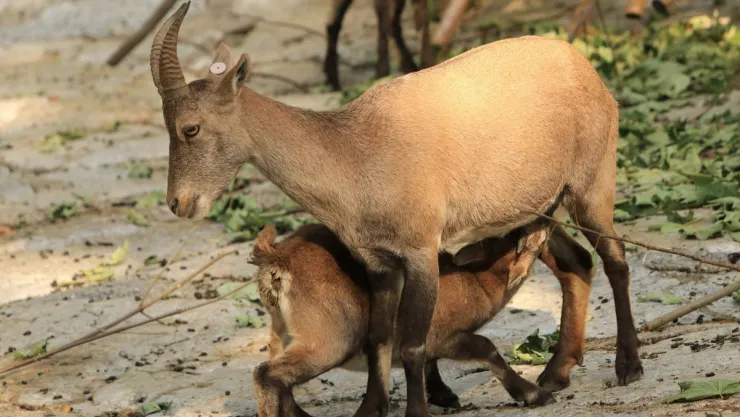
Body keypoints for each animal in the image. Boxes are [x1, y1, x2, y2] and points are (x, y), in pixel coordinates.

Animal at [250, 222, 594, 415]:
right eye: (521, 232)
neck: (474, 279)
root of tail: (276, 259)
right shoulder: (448, 336)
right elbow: (486, 347)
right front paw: (534, 394)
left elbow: (428, 361)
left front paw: (443, 394)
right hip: (330, 341)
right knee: (267, 374)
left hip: (283, 333)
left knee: (280, 379)